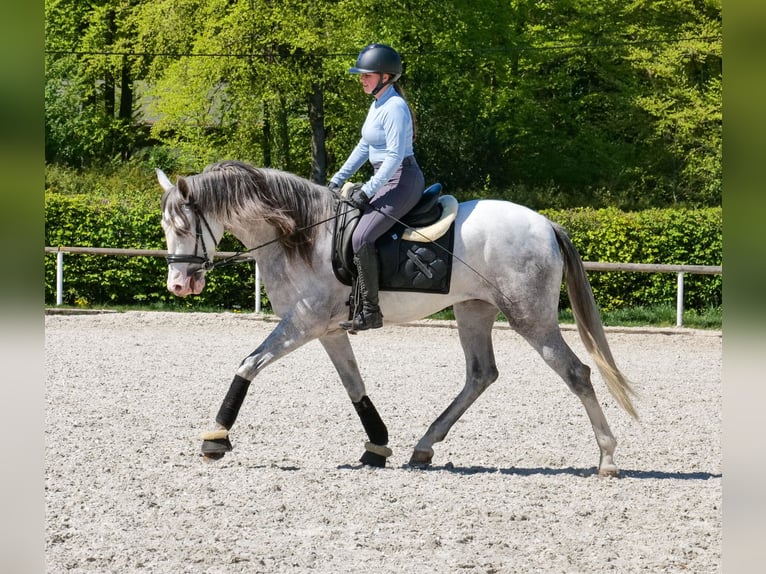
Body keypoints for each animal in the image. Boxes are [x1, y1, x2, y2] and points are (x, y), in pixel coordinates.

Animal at [157, 160, 638, 477]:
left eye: (183, 227)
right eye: (165, 228)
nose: (178, 286)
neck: (303, 235)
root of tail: (546, 224)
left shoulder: (304, 322)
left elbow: (249, 364)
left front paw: (216, 437)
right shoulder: (327, 329)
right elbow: (354, 385)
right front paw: (377, 446)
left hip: (530, 317)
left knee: (576, 373)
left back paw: (608, 458)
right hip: (474, 309)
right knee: (481, 374)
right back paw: (424, 448)